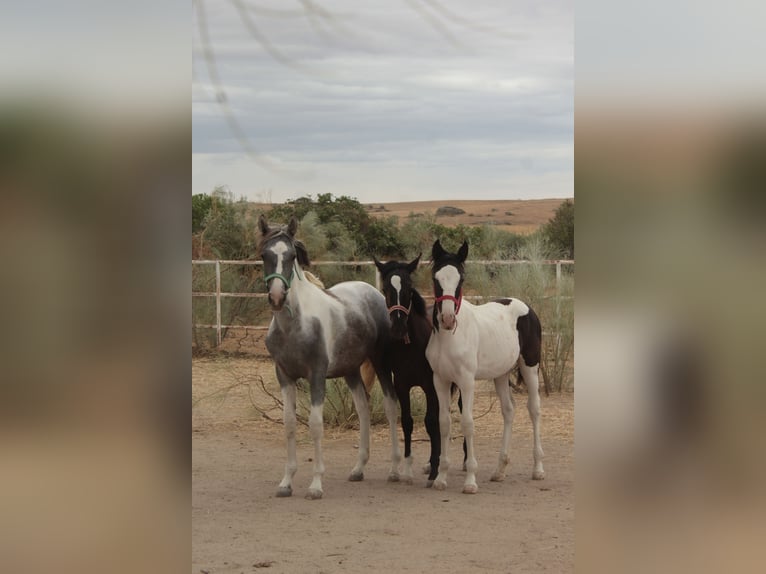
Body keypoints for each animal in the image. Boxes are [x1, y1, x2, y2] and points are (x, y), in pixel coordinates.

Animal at [257, 214, 401, 499]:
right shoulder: (284, 376)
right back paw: (358, 469)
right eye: (264, 255)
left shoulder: (317, 376)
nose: (277, 297)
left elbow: (315, 425)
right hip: (351, 370)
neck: (295, 325)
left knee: (391, 407)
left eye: (291, 255)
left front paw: (315, 485)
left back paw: (394, 470)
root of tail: (374, 292)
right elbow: (289, 424)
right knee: (363, 409)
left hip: (380, 363)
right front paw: (286, 483)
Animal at [425, 239, 545, 493]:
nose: (447, 319)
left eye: (461, 279)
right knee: (508, 410)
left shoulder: (466, 382)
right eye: (436, 278)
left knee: (534, 409)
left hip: (530, 367)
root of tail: (527, 307)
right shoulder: (440, 380)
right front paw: (441, 478)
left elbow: (468, 423)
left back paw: (538, 469)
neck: (450, 337)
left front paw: (470, 481)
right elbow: (444, 423)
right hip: (501, 374)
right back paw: (500, 470)